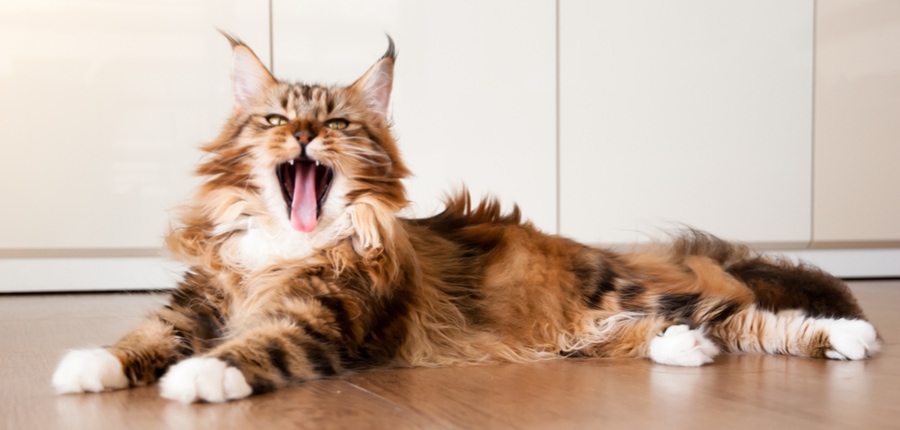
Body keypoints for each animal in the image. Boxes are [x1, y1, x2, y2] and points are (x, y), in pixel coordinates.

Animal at [51, 34, 880, 404]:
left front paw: (198, 377)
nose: (305, 136)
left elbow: (249, 347)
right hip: (587, 331)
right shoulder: (195, 302)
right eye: (276, 120)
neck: (285, 249)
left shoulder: (317, 322)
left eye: (338, 124)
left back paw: (848, 336)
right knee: (667, 334)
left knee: (749, 318)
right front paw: (88, 366)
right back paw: (685, 352)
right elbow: (142, 338)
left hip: (625, 293)